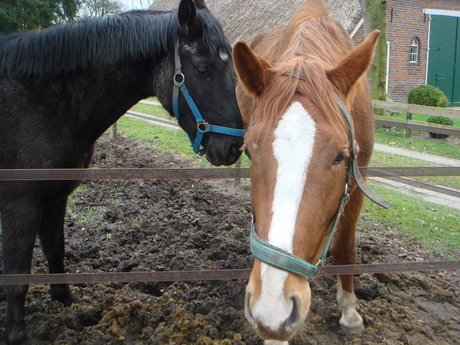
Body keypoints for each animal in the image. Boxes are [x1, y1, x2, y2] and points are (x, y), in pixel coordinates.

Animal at [0, 0, 244, 342]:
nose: (234, 147)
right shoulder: (19, 202)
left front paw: (66, 303)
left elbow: (55, 250)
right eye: (203, 70)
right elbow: (17, 274)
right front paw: (16, 335)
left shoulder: (56, 195)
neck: (49, 101)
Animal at [234, 0, 388, 342]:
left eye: (341, 156)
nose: (273, 309)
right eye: (249, 150)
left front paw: (349, 312)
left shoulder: (359, 179)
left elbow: (345, 247)